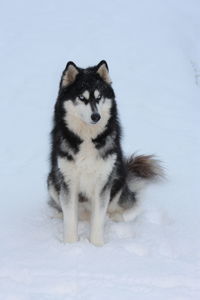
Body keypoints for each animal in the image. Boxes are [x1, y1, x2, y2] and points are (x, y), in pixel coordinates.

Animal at [47, 61, 162, 246]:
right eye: (82, 98)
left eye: (99, 97)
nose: (96, 116)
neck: (87, 138)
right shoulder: (67, 181)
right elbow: (70, 218)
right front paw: (70, 245)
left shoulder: (102, 182)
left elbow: (98, 218)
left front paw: (97, 245)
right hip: (51, 179)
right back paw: (58, 214)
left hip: (118, 179)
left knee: (120, 206)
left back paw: (116, 218)